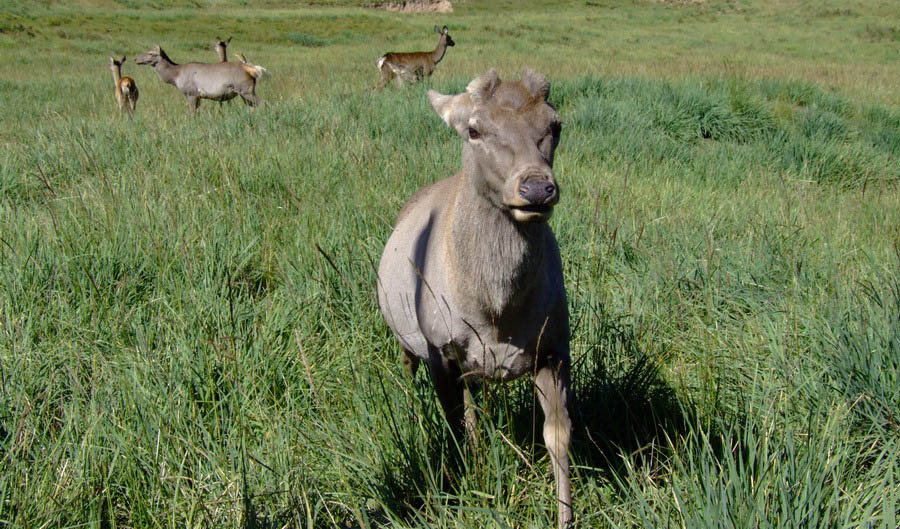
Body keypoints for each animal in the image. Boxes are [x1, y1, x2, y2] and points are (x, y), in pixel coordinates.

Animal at [133, 45, 268, 111]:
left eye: (151, 53)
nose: (135, 59)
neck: (175, 76)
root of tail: (251, 69)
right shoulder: (198, 97)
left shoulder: (191, 93)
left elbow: (192, 113)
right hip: (244, 93)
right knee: (252, 107)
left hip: (246, 90)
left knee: (265, 103)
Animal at [376, 70, 572, 528]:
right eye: (474, 129)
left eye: (554, 125)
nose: (536, 188)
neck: (496, 314)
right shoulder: (440, 348)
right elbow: (450, 425)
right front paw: (459, 493)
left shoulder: (554, 346)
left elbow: (557, 437)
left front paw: (565, 515)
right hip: (404, 333)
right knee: (410, 372)